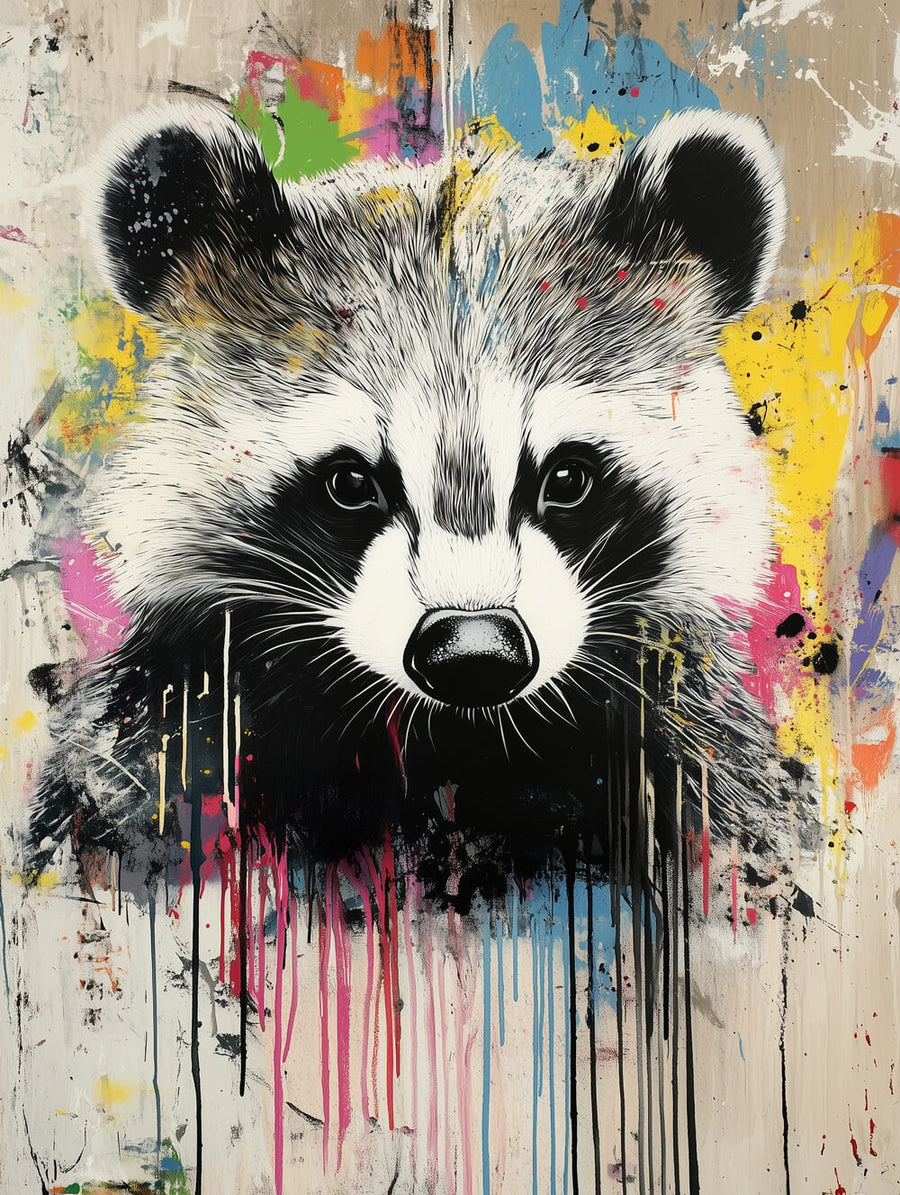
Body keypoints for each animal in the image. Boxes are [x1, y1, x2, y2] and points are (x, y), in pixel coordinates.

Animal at [33, 103, 796, 898]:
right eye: (350, 483)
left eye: (567, 479)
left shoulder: (681, 745)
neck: (455, 741)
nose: (474, 650)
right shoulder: (177, 724)